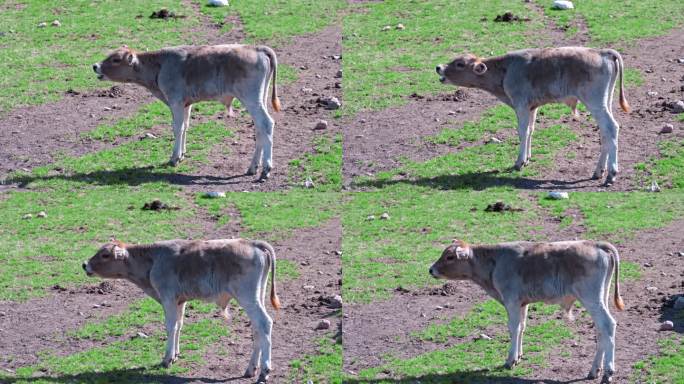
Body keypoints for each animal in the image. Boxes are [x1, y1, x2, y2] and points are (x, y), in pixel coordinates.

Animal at [83, 238, 280, 382]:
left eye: (105, 255)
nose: (85, 264)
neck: (154, 259)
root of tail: (252, 243)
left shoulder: (168, 298)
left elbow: (170, 327)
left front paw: (167, 359)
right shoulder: (179, 301)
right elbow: (179, 325)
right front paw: (176, 354)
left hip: (247, 297)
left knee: (264, 323)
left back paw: (264, 371)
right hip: (256, 297)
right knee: (257, 329)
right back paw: (251, 369)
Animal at [93, 45, 280, 182]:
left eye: (116, 59)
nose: (95, 66)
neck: (160, 64)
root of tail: (257, 48)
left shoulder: (175, 101)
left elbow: (177, 128)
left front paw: (174, 158)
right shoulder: (185, 104)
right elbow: (185, 127)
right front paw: (182, 155)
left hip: (251, 99)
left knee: (266, 124)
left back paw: (265, 169)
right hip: (260, 99)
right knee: (259, 129)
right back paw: (253, 167)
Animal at [430, 240, 628, 380]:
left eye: (449, 257)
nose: (431, 269)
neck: (495, 260)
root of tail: (596, 244)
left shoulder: (511, 301)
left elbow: (514, 328)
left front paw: (510, 360)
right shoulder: (522, 303)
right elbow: (522, 327)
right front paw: (518, 356)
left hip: (591, 298)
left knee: (608, 325)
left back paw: (608, 371)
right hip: (600, 298)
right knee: (601, 331)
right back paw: (595, 370)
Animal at [438, 47, 632, 185]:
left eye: (460, 64)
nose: (438, 67)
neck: (506, 68)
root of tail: (602, 52)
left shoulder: (521, 105)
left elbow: (522, 131)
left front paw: (519, 162)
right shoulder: (532, 107)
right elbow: (530, 130)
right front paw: (528, 159)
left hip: (595, 102)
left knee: (611, 127)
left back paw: (611, 174)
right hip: (605, 102)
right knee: (605, 133)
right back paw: (599, 172)